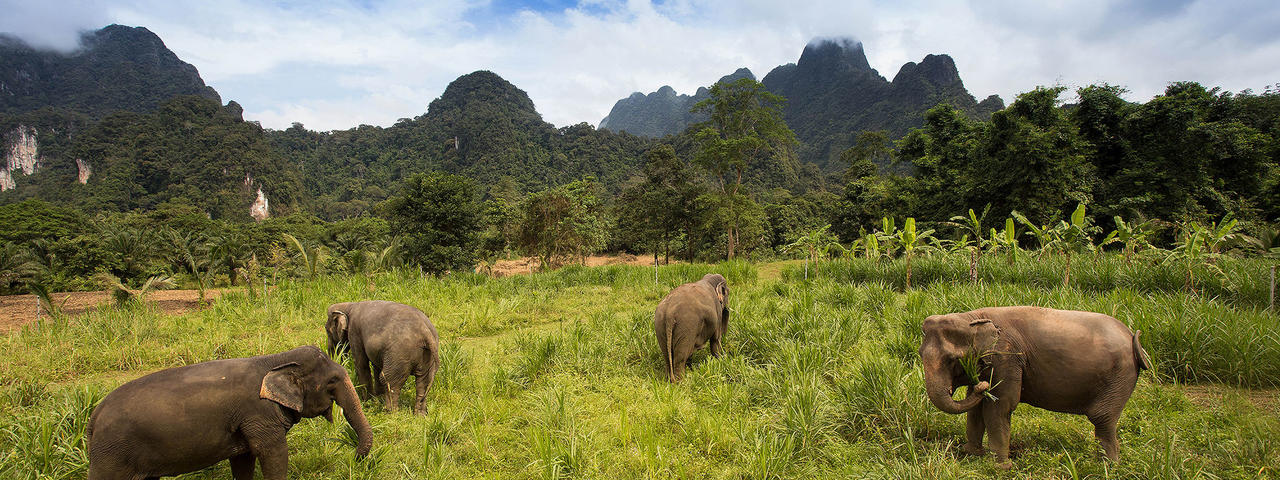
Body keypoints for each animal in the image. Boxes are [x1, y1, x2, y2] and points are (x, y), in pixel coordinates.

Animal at [86, 345, 371, 480]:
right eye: (332, 381)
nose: (354, 457)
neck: (274, 359)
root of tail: (93, 417)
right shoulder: (258, 415)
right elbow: (273, 453)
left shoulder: (243, 423)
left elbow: (243, 459)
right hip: (111, 455)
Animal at [919, 306, 1152, 467]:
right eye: (920, 355)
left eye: (952, 360)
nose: (982, 385)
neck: (972, 317)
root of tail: (1133, 337)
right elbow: (976, 409)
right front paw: (971, 453)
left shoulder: (1007, 359)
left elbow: (1000, 407)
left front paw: (1001, 467)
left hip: (1119, 377)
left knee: (1102, 418)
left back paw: (1108, 467)